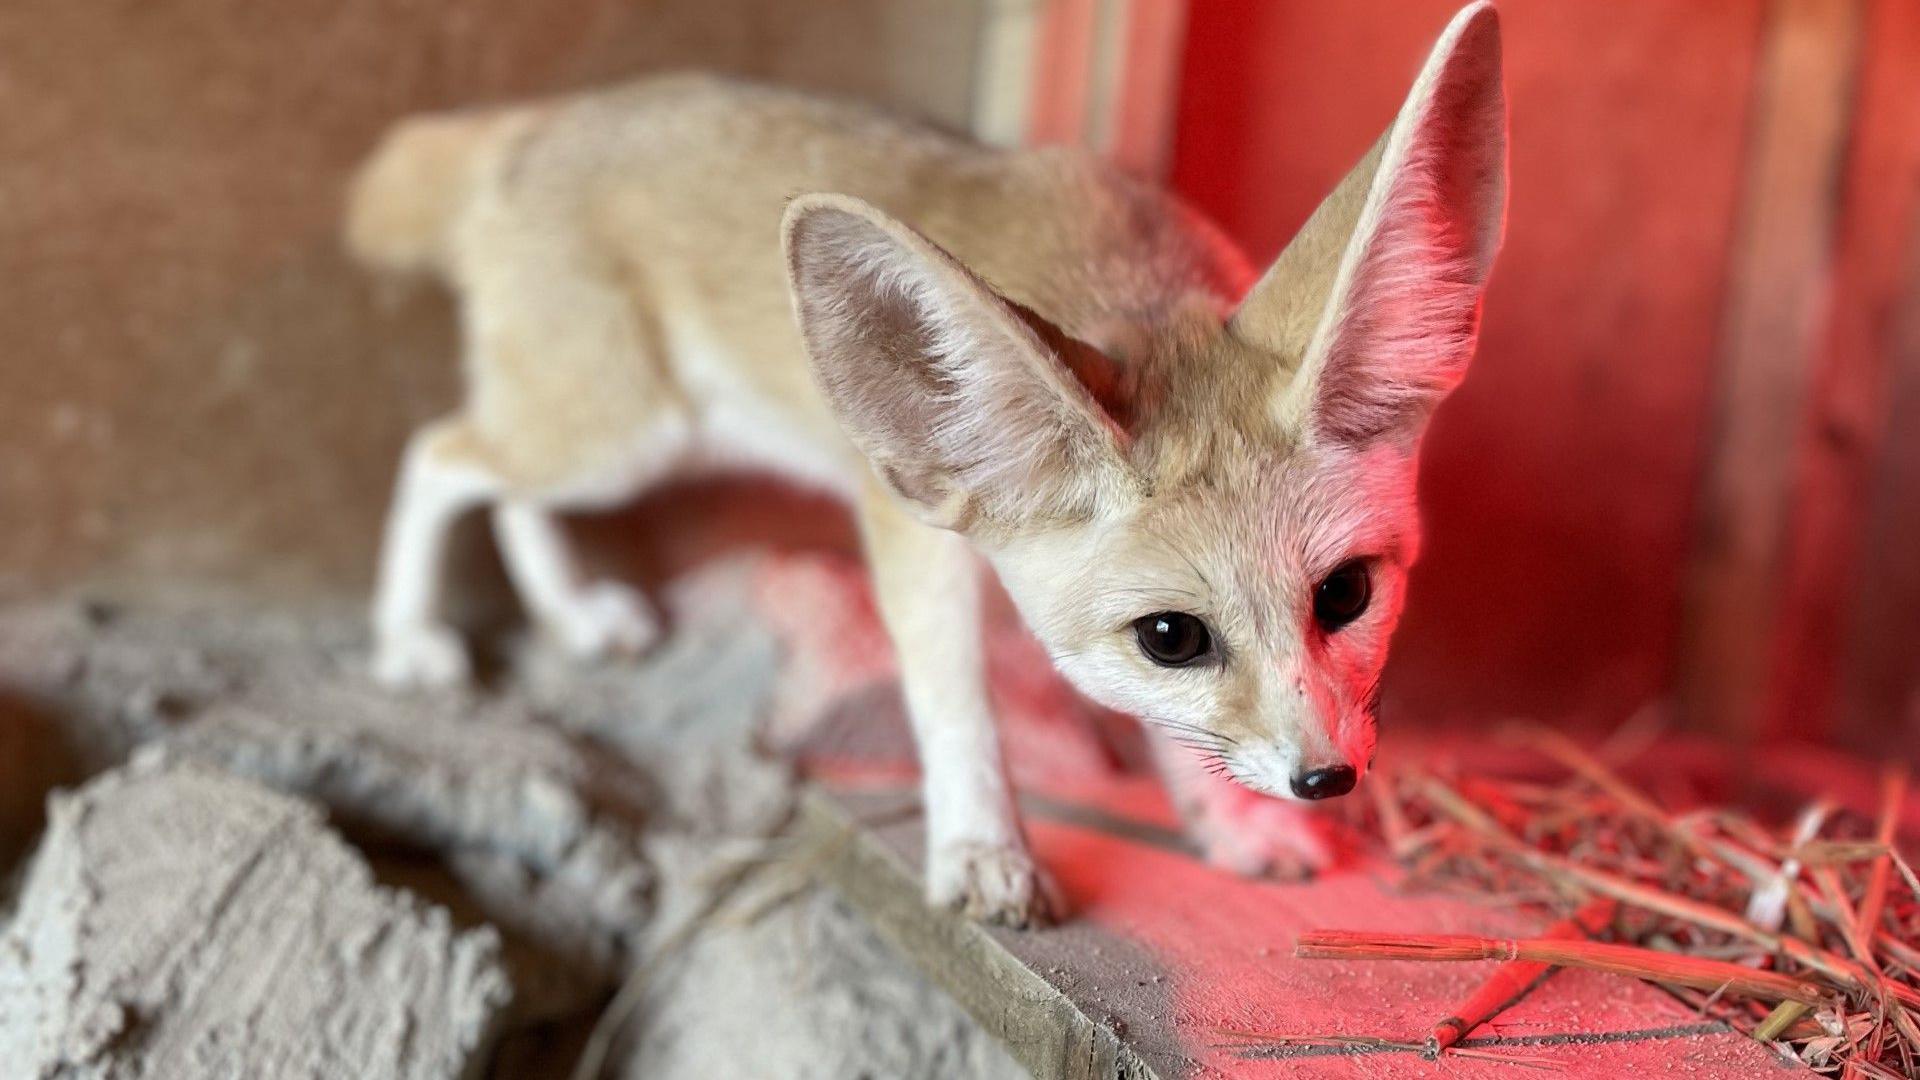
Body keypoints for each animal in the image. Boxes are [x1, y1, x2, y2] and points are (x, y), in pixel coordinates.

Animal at [353, 4, 1505, 922]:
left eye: (1346, 595)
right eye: (1173, 637)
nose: (1328, 779)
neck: (1122, 286)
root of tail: (537, 122)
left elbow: (1167, 731)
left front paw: (1229, 820)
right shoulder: (913, 526)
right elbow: (955, 702)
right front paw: (983, 848)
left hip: (609, 444)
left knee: (490, 478)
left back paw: (570, 614)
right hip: (616, 437)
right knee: (436, 451)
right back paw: (409, 638)